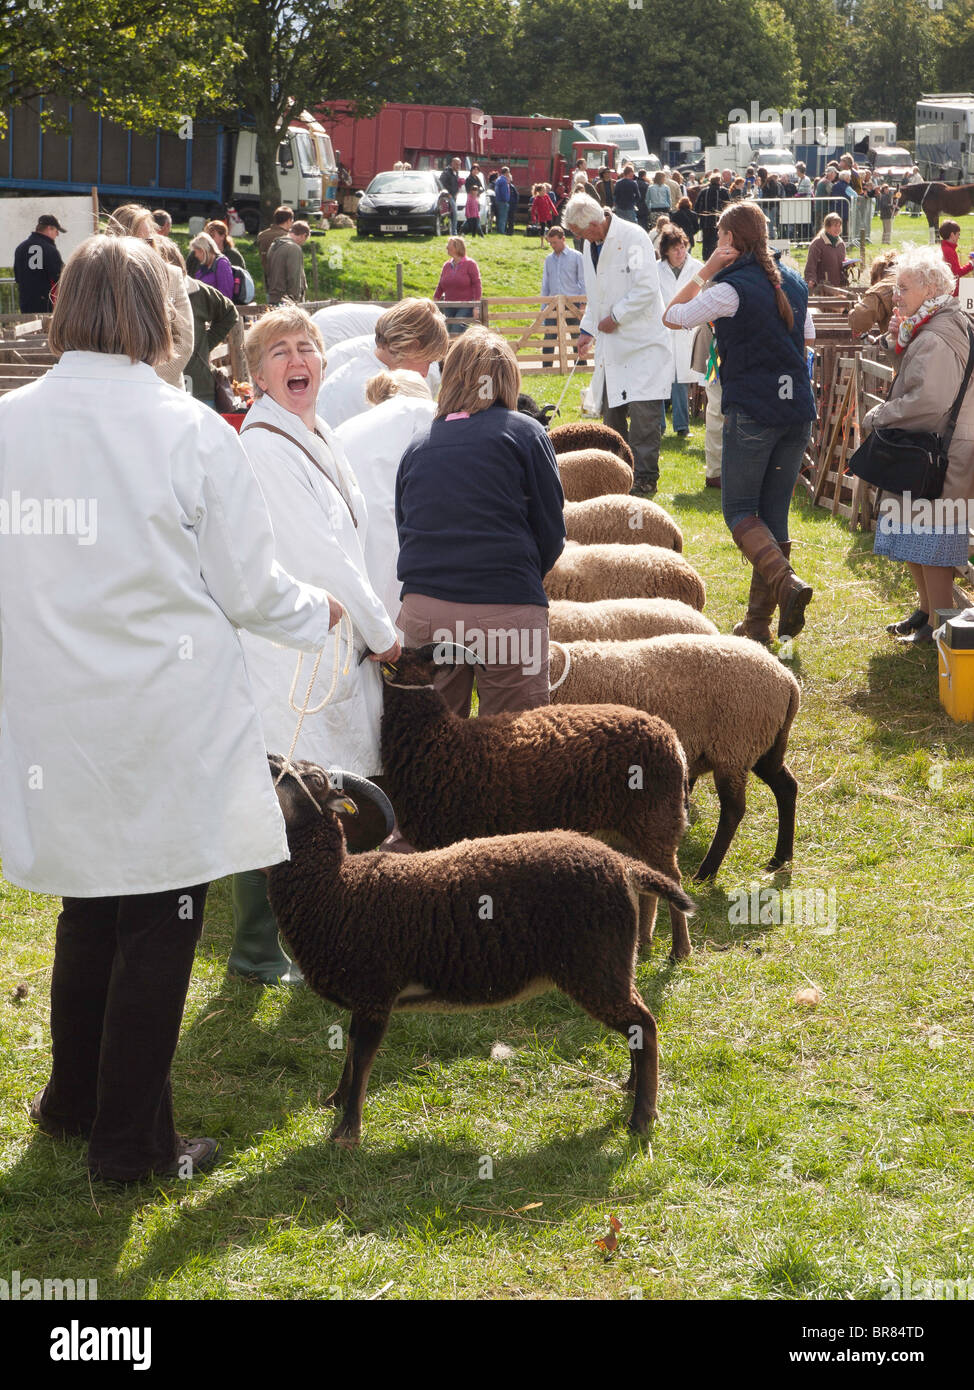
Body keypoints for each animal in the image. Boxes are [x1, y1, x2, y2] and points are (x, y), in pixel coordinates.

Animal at [265, 756, 691, 1145]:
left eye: (315, 780)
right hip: (612, 965)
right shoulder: (363, 996)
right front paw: (336, 1100)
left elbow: (364, 1057)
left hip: (597, 966)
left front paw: (347, 1132)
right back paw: (632, 1086)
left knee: (644, 1024)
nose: (269, 760)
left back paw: (641, 1117)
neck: (336, 888)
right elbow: (351, 1051)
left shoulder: (375, 994)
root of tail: (624, 865)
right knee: (637, 1025)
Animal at [377, 642, 691, 956]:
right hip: (632, 824)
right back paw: (644, 940)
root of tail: (670, 737)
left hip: (656, 818)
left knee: (672, 877)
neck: (439, 739)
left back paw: (679, 949)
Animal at [550, 636, 800, 878]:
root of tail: (787, 680)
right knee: (786, 787)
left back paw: (706, 872)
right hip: (762, 746)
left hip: (734, 747)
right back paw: (780, 857)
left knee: (733, 810)